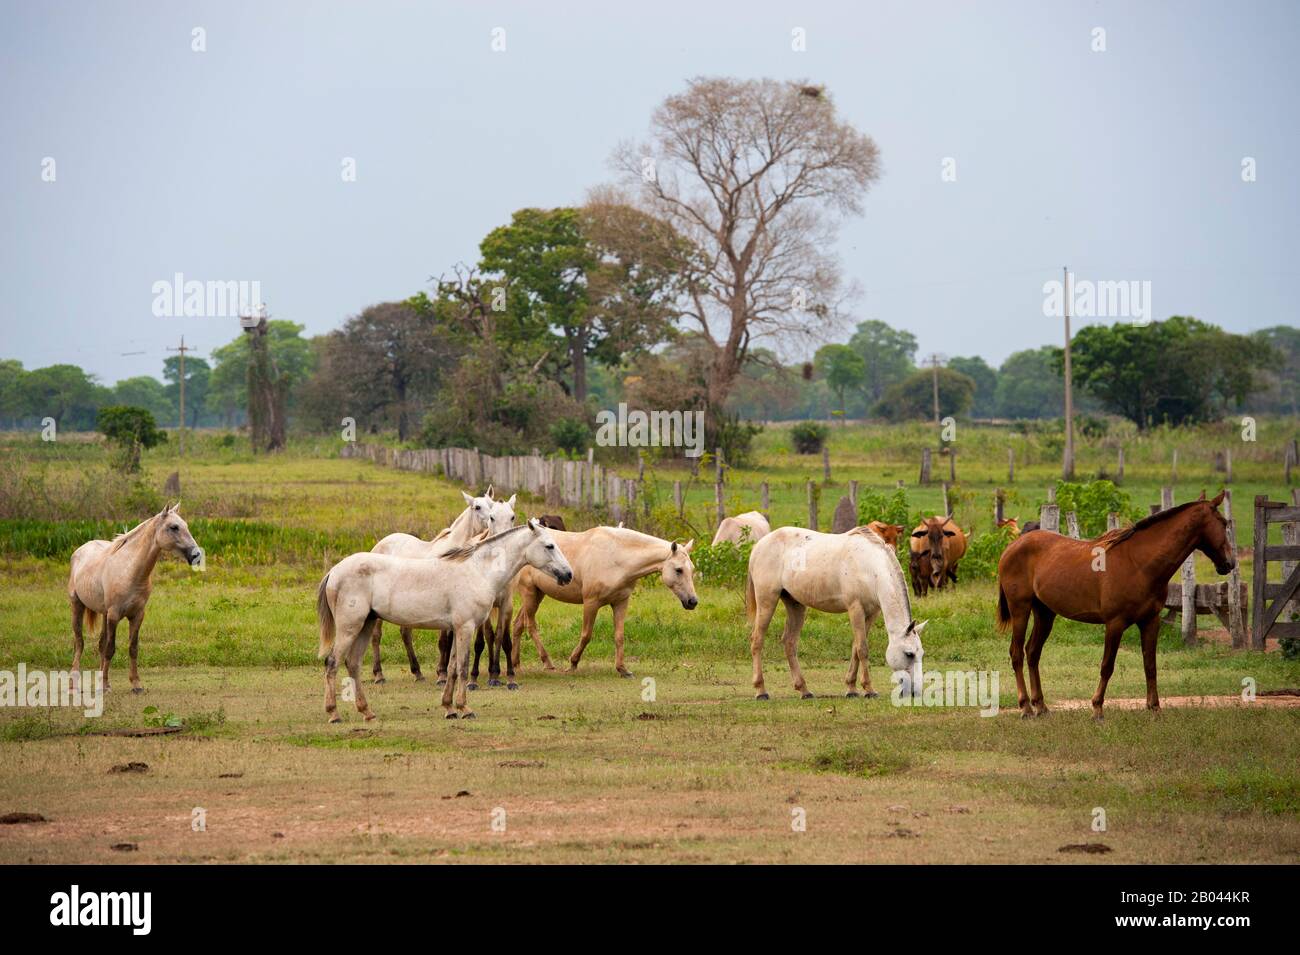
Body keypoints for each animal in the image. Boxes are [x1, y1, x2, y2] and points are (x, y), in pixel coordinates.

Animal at [317, 519, 572, 722]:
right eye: (549, 546)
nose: (568, 574)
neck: (478, 570)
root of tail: (335, 571)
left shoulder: (457, 628)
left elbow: (451, 668)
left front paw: (449, 708)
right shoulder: (466, 627)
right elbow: (463, 668)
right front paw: (465, 708)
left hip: (365, 625)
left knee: (353, 664)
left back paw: (367, 712)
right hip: (350, 627)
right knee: (332, 663)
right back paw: (333, 713)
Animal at [369, 488, 514, 686]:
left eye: (491, 504)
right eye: (477, 507)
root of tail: (379, 545)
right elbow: (444, 641)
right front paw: (442, 675)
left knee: (405, 633)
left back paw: (417, 672)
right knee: (376, 636)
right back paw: (379, 675)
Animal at [506, 527, 696, 675]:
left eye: (692, 569)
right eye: (678, 570)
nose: (692, 601)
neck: (617, 557)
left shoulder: (621, 602)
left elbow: (619, 635)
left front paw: (622, 669)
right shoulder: (591, 603)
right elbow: (586, 634)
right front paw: (573, 663)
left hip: (537, 595)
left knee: (518, 624)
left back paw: (516, 665)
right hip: (530, 594)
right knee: (530, 625)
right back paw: (547, 662)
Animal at [743, 527, 925, 696]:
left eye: (921, 654)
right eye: (909, 654)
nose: (915, 691)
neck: (870, 567)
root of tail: (759, 545)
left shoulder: (872, 613)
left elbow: (855, 648)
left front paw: (851, 688)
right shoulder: (855, 609)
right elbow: (862, 649)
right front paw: (869, 689)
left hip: (796, 605)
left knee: (790, 642)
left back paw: (804, 690)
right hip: (767, 601)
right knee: (757, 640)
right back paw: (761, 690)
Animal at [998, 488, 1232, 722]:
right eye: (1223, 522)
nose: (1229, 563)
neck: (1139, 564)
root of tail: (1011, 547)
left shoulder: (1150, 621)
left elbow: (1150, 665)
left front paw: (1154, 707)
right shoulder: (1115, 624)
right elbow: (1107, 666)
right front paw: (1097, 709)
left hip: (1045, 613)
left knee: (1033, 652)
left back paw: (1041, 706)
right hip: (1020, 609)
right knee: (1017, 654)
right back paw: (1026, 708)